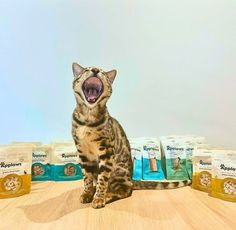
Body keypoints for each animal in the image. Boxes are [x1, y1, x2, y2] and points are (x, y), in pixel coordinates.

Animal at [71, 62, 191, 208]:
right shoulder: (83, 154)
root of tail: (132, 178)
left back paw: (107, 195)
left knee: (125, 190)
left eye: (103, 72)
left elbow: (102, 179)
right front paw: (87, 193)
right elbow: (86, 178)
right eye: (86, 70)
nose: (94, 70)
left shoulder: (107, 152)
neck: (87, 119)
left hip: (118, 171)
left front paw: (99, 198)